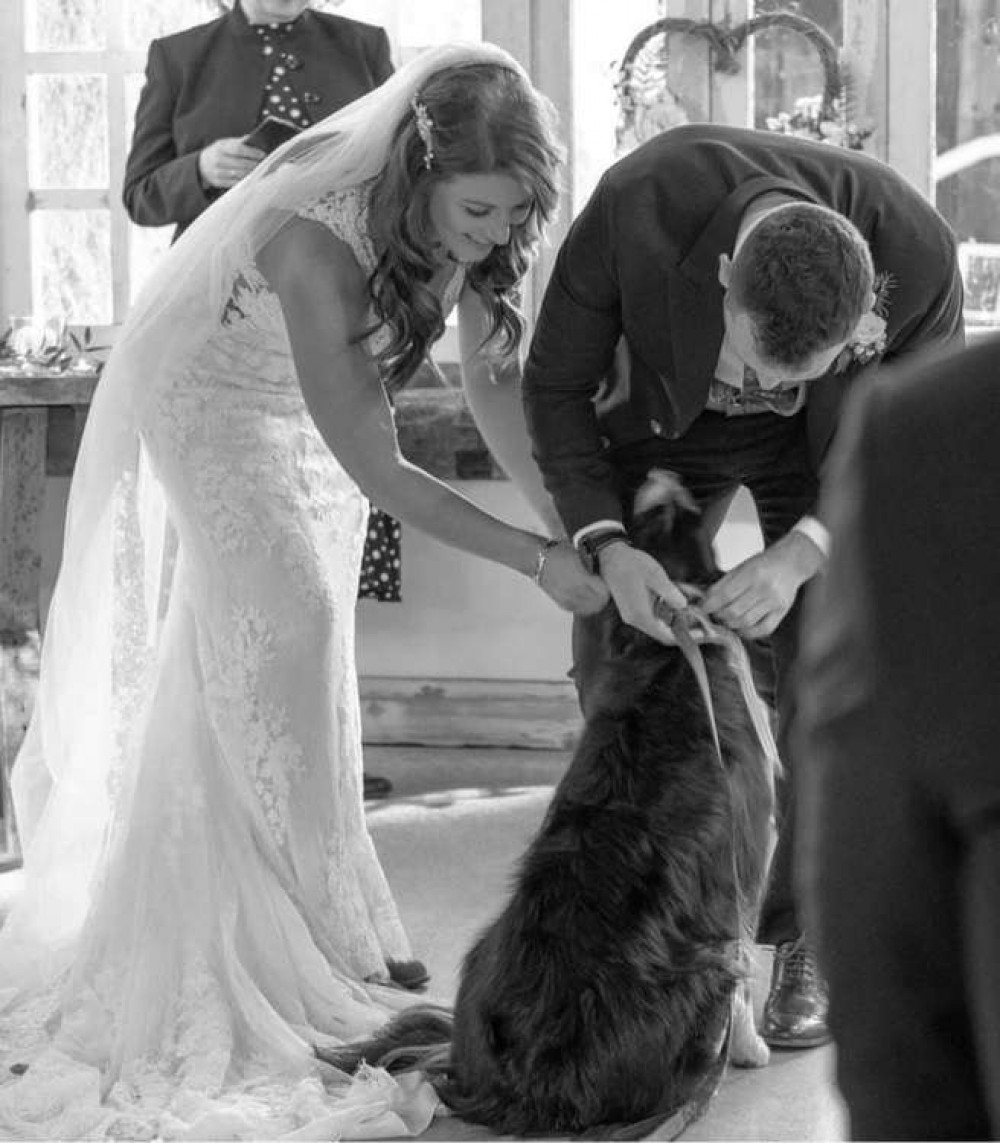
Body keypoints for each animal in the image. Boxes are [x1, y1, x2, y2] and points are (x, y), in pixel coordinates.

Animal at [324, 468, 777, 1138]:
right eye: (690, 510)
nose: (658, 473)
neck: (666, 647)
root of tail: (522, 1089)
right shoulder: (749, 856)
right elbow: (747, 963)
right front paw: (751, 1049)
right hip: (705, 968)